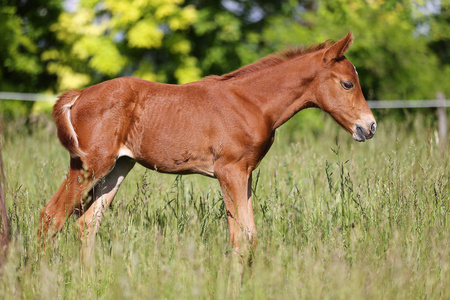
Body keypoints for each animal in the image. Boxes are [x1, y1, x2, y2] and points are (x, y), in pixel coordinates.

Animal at [38, 32, 376, 251]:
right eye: (348, 84)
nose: (369, 127)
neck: (252, 103)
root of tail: (79, 94)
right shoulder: (230, 171)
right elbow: (240, 237)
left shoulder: (245, 173)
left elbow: (250, 234)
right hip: (90, 165)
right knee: (51, 217)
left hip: (119, 167)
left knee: (86, 224)